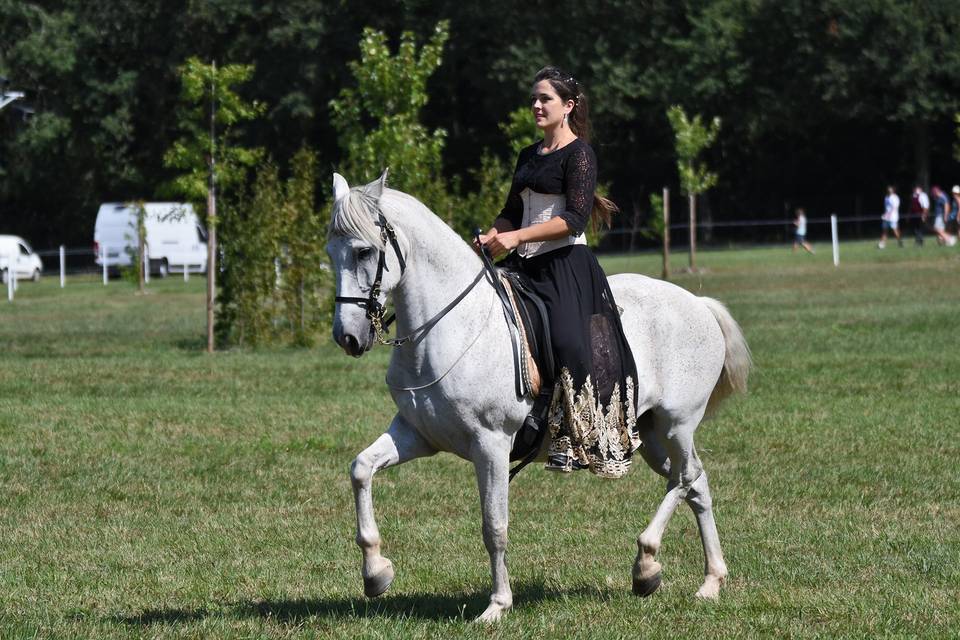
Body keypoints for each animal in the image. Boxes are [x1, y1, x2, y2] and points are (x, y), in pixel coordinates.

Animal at [328, 170, 752, 620]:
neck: (450, 326)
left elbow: (494, 526)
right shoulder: (417, 434)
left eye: (363, 252)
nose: (347, 337)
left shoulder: (491, 445)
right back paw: (709, 581)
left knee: (685, 478)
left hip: (677, 424)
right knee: (695, 483)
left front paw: (497, 606)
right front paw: (376, 573)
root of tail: (699, 304)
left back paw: (646, 564)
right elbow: (361, 469)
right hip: (653, 435)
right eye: (330, 252)